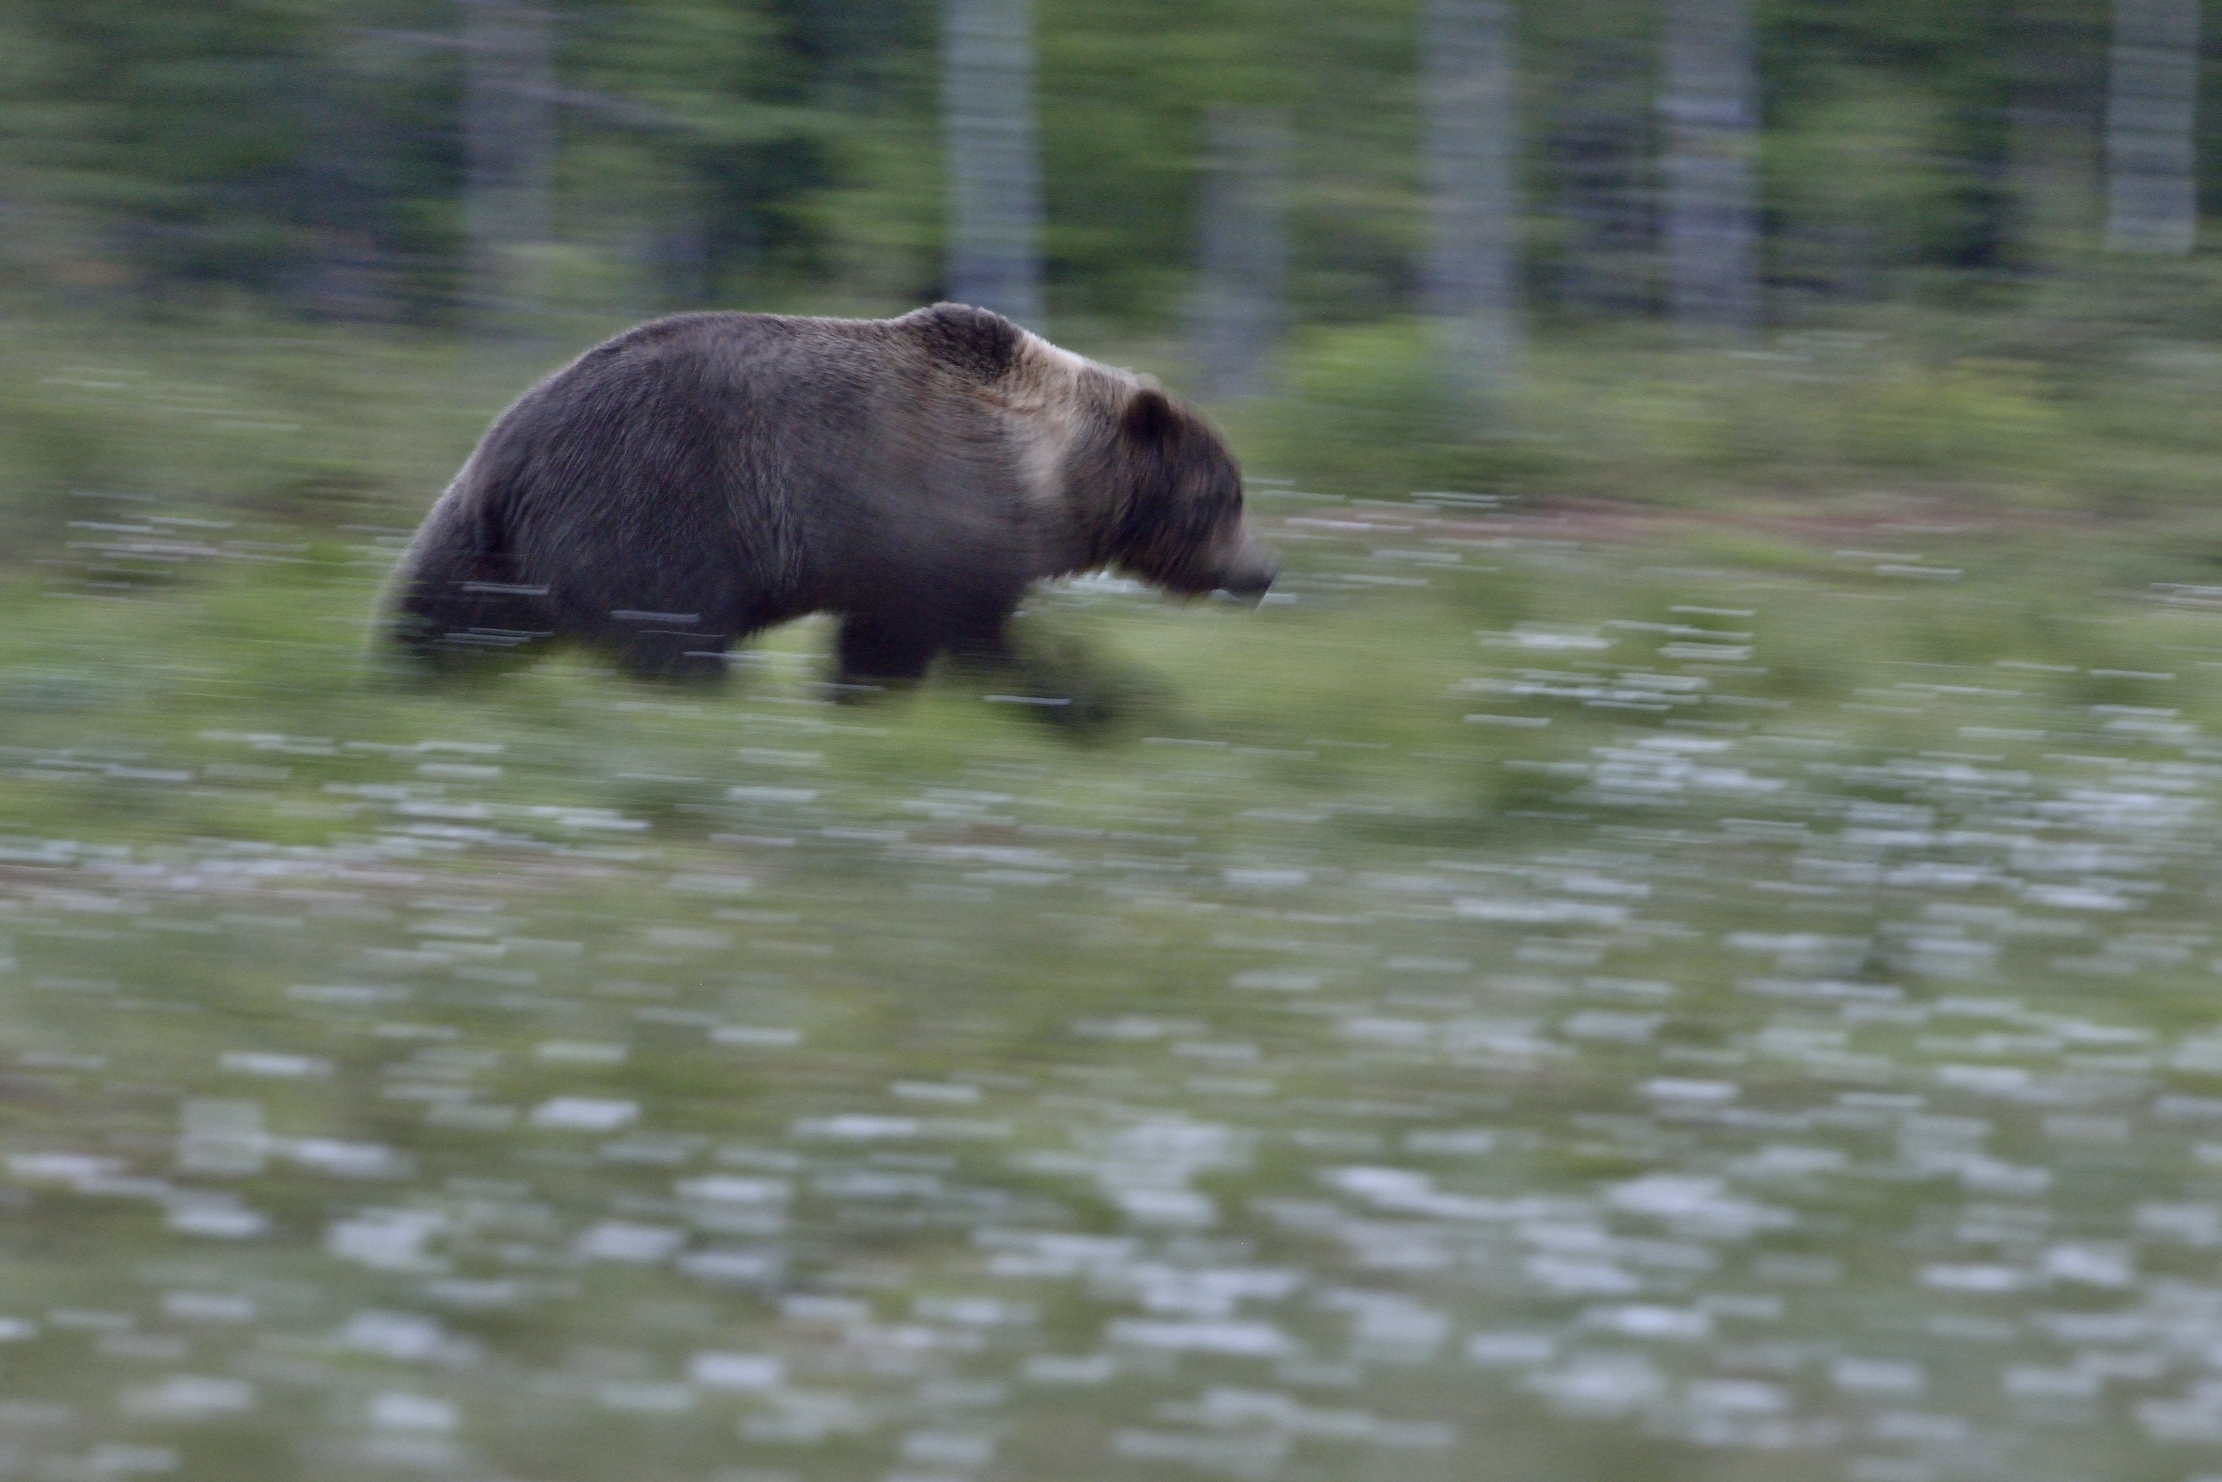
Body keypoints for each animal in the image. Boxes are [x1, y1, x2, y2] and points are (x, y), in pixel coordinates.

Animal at [378, 302, 1278, 690]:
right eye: (1228, 496)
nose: (1262, 571)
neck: (1052, 475)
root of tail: (511, 449)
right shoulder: (943, 521)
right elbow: (935, 635)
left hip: (486, 538)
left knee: (439, 612)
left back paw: (404, 681)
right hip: (648, 505)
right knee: (673, 634)